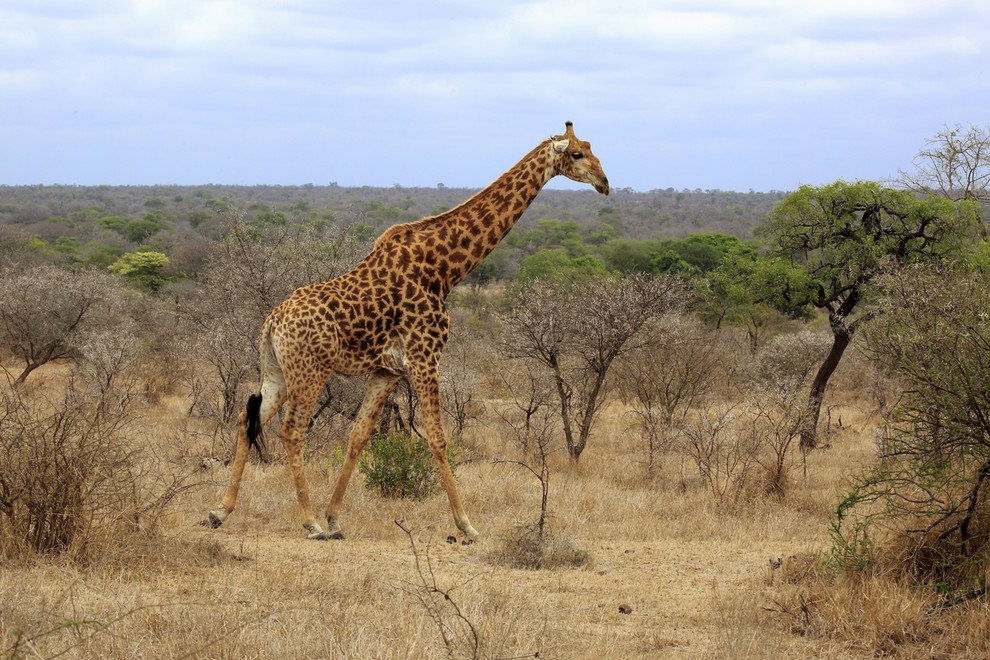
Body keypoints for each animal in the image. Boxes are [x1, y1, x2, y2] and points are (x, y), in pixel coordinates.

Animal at [208, 122, 608, 540]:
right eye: (578, 154)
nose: (605, 183)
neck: (444, 269)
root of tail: (272, 320)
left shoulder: (387, 369)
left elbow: (358, 436)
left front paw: (335, 518)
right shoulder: (424, 356)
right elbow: (438, 438)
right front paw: (466, 524)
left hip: (276, 372)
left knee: (247, 420)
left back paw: (222, 510)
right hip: (310, 369)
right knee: (291, 430)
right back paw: (309, 521)